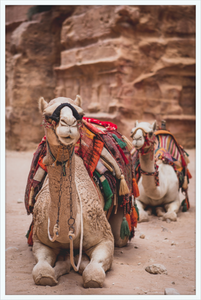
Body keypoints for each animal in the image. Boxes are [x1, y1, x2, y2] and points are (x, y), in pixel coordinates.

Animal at [29, 95, 130, 288]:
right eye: (47, 115)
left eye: (80, 114)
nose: (68, 123)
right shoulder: (40, 240)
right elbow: (41, 272)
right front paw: (56, 269)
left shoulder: (105, 239)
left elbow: (93, 274)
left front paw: (76, 261)